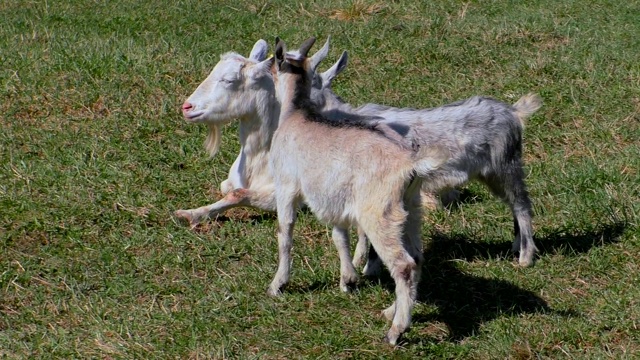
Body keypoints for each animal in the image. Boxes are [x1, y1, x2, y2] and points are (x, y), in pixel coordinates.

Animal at [270, 37, 450, 346]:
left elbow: (285, 232)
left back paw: (396, 331)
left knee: (403, 264)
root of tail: (410, 166)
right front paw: (348, 280)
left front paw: (278, 285)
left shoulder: (286, 186)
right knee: (416, 257)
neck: (296, 116)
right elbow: (338, 235)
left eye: (273, 61)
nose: (266, 66)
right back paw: (390, 311)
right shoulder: (333, 196)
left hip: (379, 213)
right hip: (411, 210)